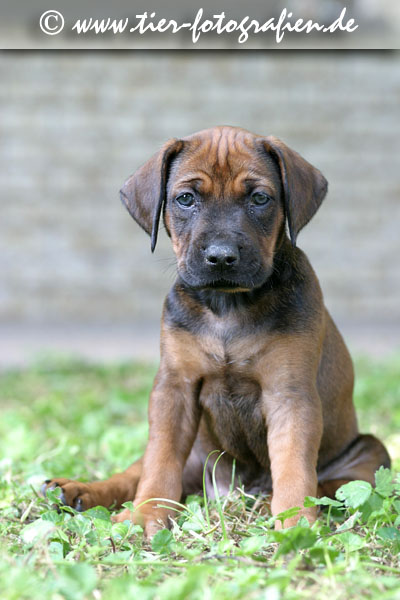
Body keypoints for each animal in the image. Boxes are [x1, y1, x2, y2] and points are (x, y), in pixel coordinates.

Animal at [43, 125, 390, 536]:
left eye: (259, 198)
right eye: (186, 198)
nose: (222, 257)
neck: (228, 307)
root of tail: (231, 490)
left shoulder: (289, 392)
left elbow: (293, 465)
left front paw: (295, 522)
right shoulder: (173, 388)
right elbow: (159, 461)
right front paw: (147, 513)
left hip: (370, 449)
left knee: (338, 484)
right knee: (136, 472)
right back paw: (77, 489)